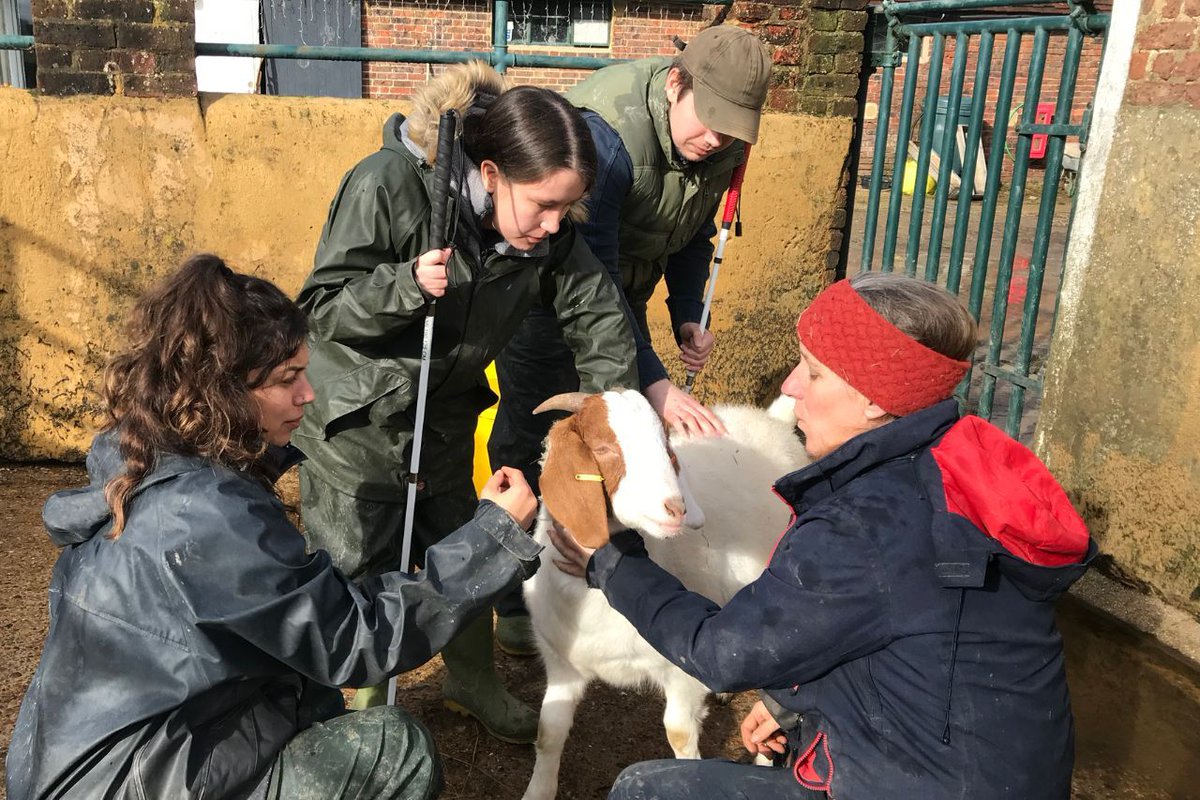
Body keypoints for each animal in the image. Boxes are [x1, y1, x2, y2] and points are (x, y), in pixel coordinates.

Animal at [523, 388, 811, 800]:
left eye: (666, 447)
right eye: (604, 448)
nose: (675, 508)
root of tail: (774, 420)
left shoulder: (682, 673)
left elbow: (678, 734)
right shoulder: (562, 663)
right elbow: (548, 732)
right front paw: (538, 790)